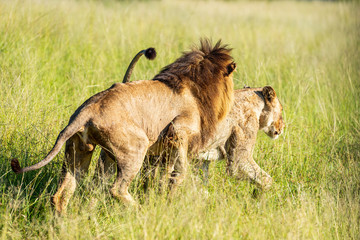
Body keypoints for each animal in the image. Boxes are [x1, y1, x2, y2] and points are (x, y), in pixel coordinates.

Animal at [9, 39, 236, 214]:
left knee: (62, 193)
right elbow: (180, 171)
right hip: (135, 147)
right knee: (115, 189)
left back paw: (63, 223)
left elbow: (166, 175)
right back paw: (140, 211)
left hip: (79, 152)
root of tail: (85, 112)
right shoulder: (178, 132)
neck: (194, 84)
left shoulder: (167, 147)